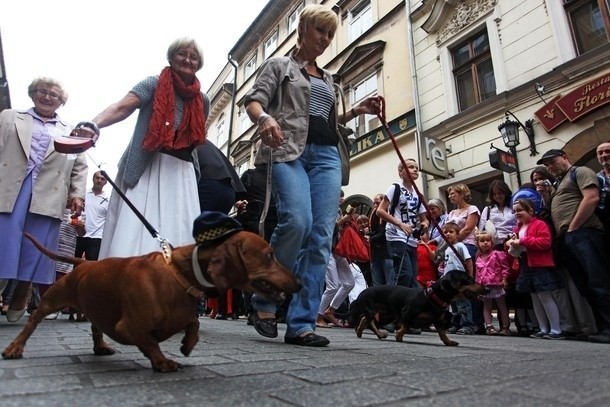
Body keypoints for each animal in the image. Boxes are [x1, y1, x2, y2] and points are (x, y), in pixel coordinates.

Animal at [346, 272, 484, 346]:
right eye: (469, 279)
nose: (486, 288)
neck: (431, 298)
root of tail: (362, 293)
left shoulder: (438, 321)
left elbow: (442, 333)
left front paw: (449, 342)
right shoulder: (406, 313)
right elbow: (406, 325)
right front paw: (399, 336)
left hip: (387, 314)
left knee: (365, 319)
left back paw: (360, 332)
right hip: (379, 311)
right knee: (370, 322)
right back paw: (380, 334)